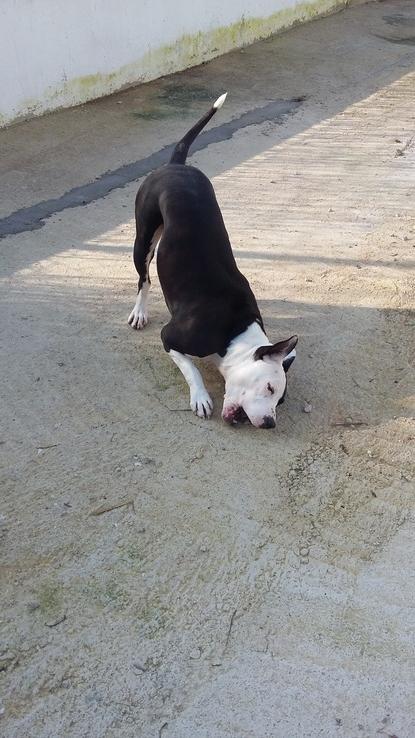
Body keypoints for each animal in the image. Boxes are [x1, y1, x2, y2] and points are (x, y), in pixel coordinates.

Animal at [128, 92, 298, 428]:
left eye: (281, 401)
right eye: (270, 387)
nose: (270, 422)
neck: (234, 333)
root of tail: (175, 165)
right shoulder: (171, 337)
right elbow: (191, 368)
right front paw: (201, 397)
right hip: (143, 240)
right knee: (144, 278)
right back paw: (139, 311)